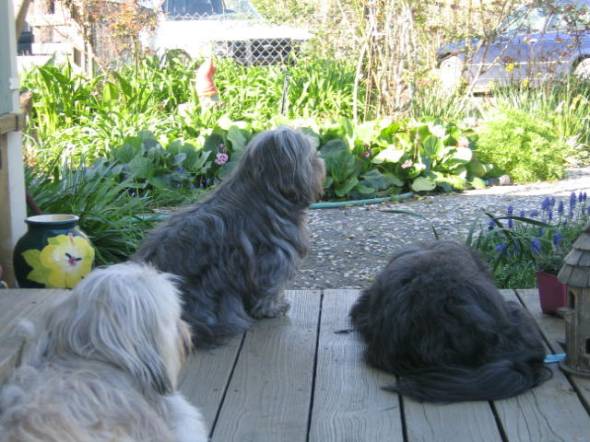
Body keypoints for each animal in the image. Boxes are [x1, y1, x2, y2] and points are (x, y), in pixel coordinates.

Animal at [134, 127, 325, 347]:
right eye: (311, 155)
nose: (320, 159)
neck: (264, 191)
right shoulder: (273, 259)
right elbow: (269, 289)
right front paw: (274, 308)